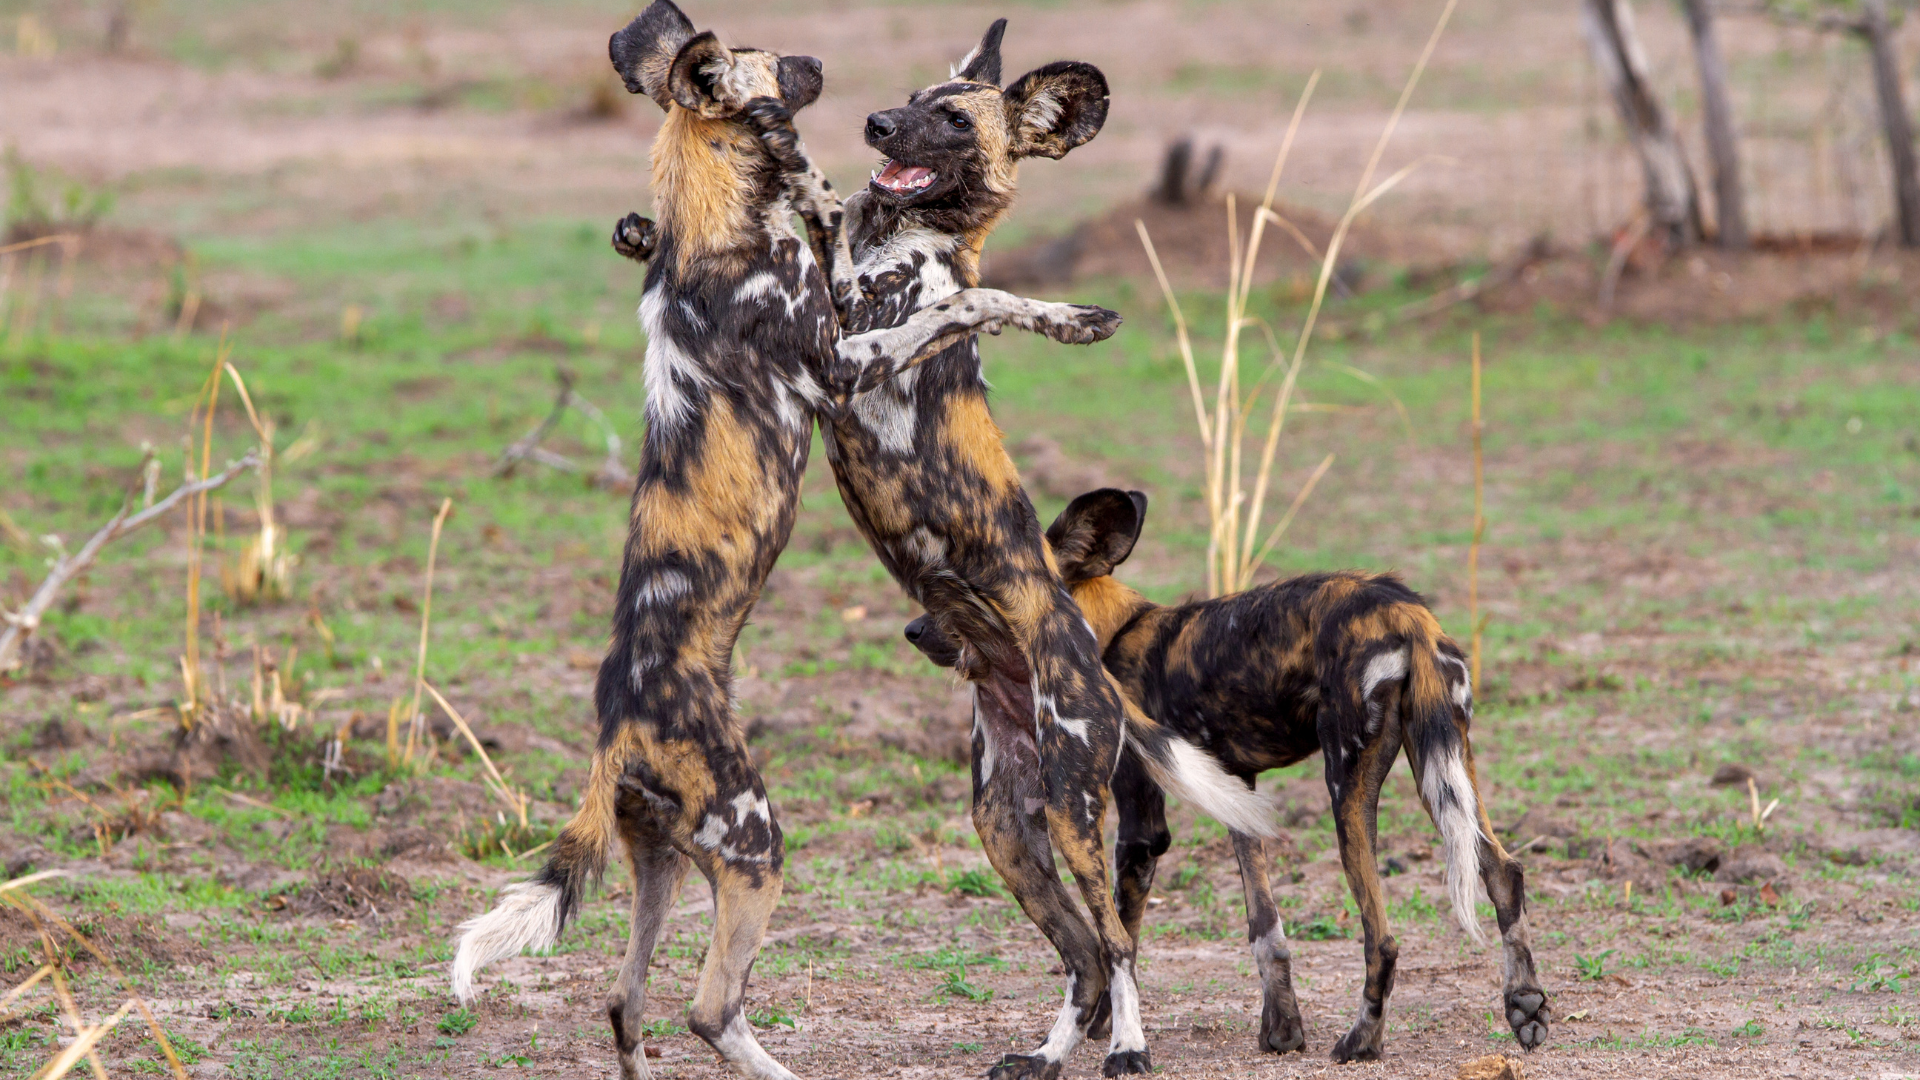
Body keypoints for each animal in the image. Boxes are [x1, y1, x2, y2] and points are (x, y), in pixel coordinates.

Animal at [447, 4, 1121, 1068]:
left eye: (951, 116)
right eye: (777, 55)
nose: (859, 102)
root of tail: (618, 726)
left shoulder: (849, 328)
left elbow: (934, 274)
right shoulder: (845, 354)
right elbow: (966, 291)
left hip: (1001, 818)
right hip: (804, 838)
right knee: (707, 1006)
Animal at [906, 491, 1551, 1060]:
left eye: (973, 592)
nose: (914, 630)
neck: (1105, 631)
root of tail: (1406, 611)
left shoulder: (1141, 828)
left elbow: (1123, 936)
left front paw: (1107, 1025)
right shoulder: (1239, 794)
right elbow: (1266, 928)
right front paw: (1282, 1030)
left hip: (1347, 791)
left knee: (1382, 937)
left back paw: (1362, 1042)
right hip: (1445, 768)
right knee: (1503, 871)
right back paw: (1525, 1005)